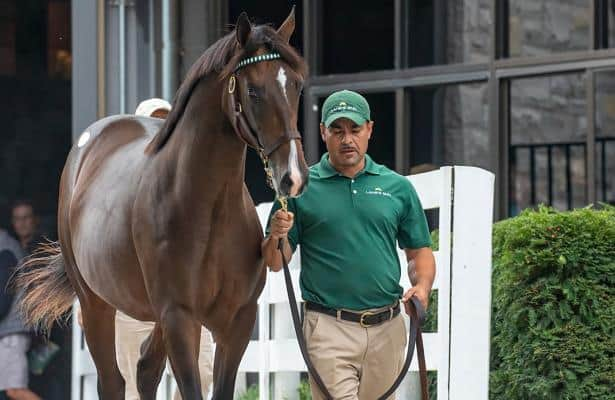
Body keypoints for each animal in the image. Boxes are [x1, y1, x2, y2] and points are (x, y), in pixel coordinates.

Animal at [15, 9, 308, 400]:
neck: (209, 209)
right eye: (253, 91)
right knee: (113, 381)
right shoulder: (179, 317)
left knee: (145, 370)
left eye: (297, 85)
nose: (293, 176)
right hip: (96, 305)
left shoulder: (237, 320)